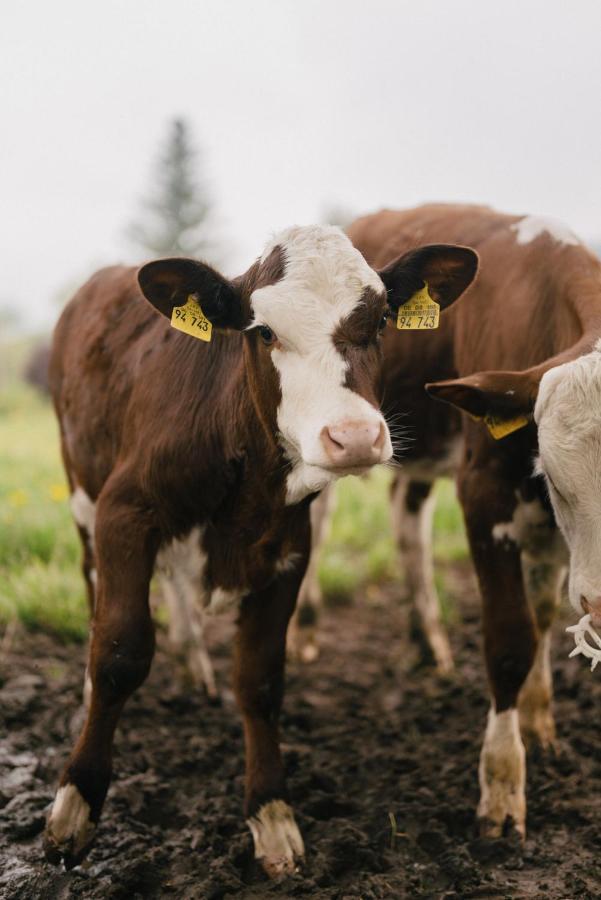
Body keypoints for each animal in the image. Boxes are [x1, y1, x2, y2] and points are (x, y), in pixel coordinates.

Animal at [43, 227, 478, 880]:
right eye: (264, 331)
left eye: (380, 322)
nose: (355, 437)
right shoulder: (124, 513)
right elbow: (119, 651)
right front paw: (75, 806)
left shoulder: (288, 554)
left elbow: (260, 680)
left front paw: (272, 816)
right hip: (81, 494)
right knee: (97, 595)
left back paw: (194, 666)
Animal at [298, 207, 600, 840]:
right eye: (559, 479)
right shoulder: (483, 491)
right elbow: (510, 638)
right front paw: (503, 785)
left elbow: (541, 614)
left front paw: (539, 719)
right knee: (318, 521)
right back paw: (305, 632)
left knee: (407, 520)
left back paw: (428, 640)